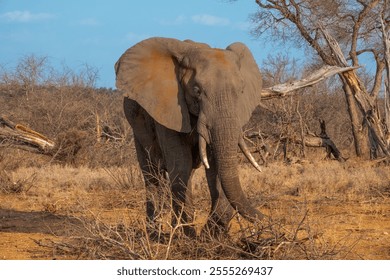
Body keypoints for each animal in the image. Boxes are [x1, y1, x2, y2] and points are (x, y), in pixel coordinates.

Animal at [114, 37, 264, 238]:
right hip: (137, 129)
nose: (265, 220)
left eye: (241, 91)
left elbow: (214, 168)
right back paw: (154, 233)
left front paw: (211, 236)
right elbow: (180, 165)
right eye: (197, 90)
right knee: (152, 174)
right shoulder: (167, 108)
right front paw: (188, 236)